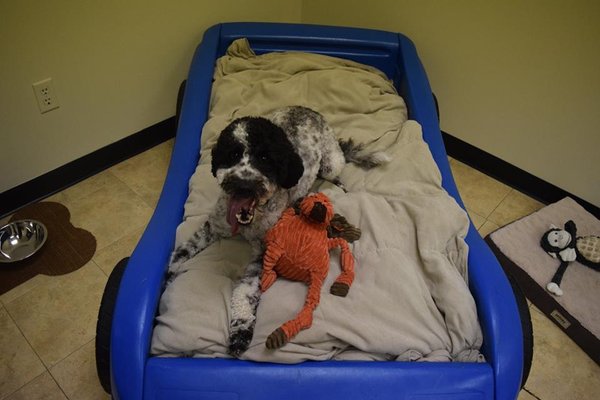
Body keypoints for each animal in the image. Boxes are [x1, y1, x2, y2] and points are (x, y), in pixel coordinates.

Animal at [169, 106, 386, 356]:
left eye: (265, 158)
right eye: (232, 154)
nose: (244, 185)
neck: (249, 222)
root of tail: (309, 110)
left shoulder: (264, 252)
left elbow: (244, 291)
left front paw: (240, 331)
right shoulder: (213, 227)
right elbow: (180, 253)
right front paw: (167, 279)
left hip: (331, 162)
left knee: (334, 169)